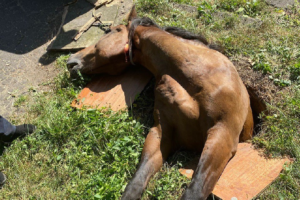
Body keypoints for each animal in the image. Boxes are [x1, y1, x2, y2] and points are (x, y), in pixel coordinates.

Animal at [67, 6, 253, 200]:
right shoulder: (161, 133)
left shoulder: (222, 133)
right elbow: (136, 182)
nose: (71, 60)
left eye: (111, 31)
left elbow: (195, 189)